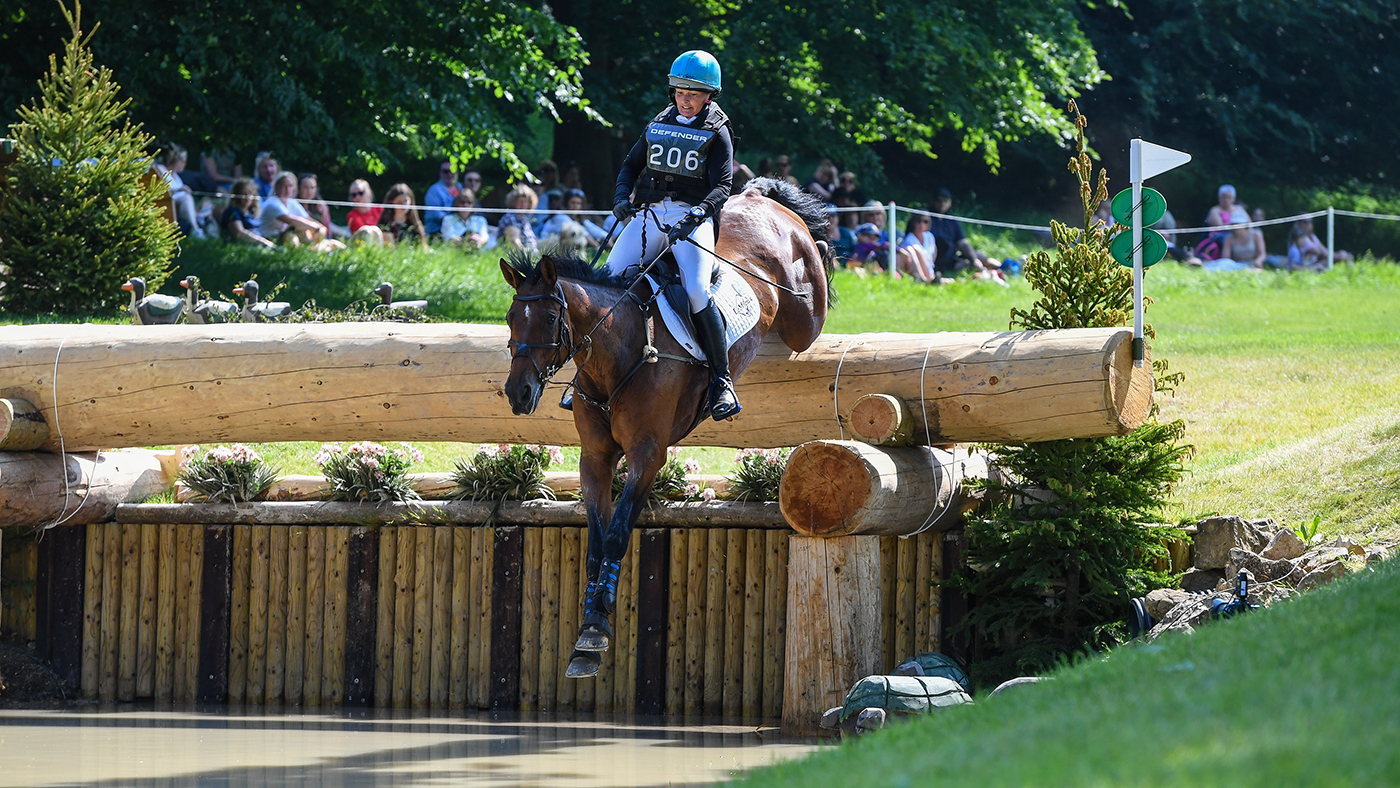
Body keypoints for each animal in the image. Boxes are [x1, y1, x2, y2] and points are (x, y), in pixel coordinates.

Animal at [501, 177, 828, 677]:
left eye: (552, 319)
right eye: (509, 319)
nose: (518, 393)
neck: (618, 355)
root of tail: (759, 199)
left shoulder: (647, 453)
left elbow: (617, 534)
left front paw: (594, 630)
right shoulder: (595, 458)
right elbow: (596, 540)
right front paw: (588, 629)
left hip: (804, 317)